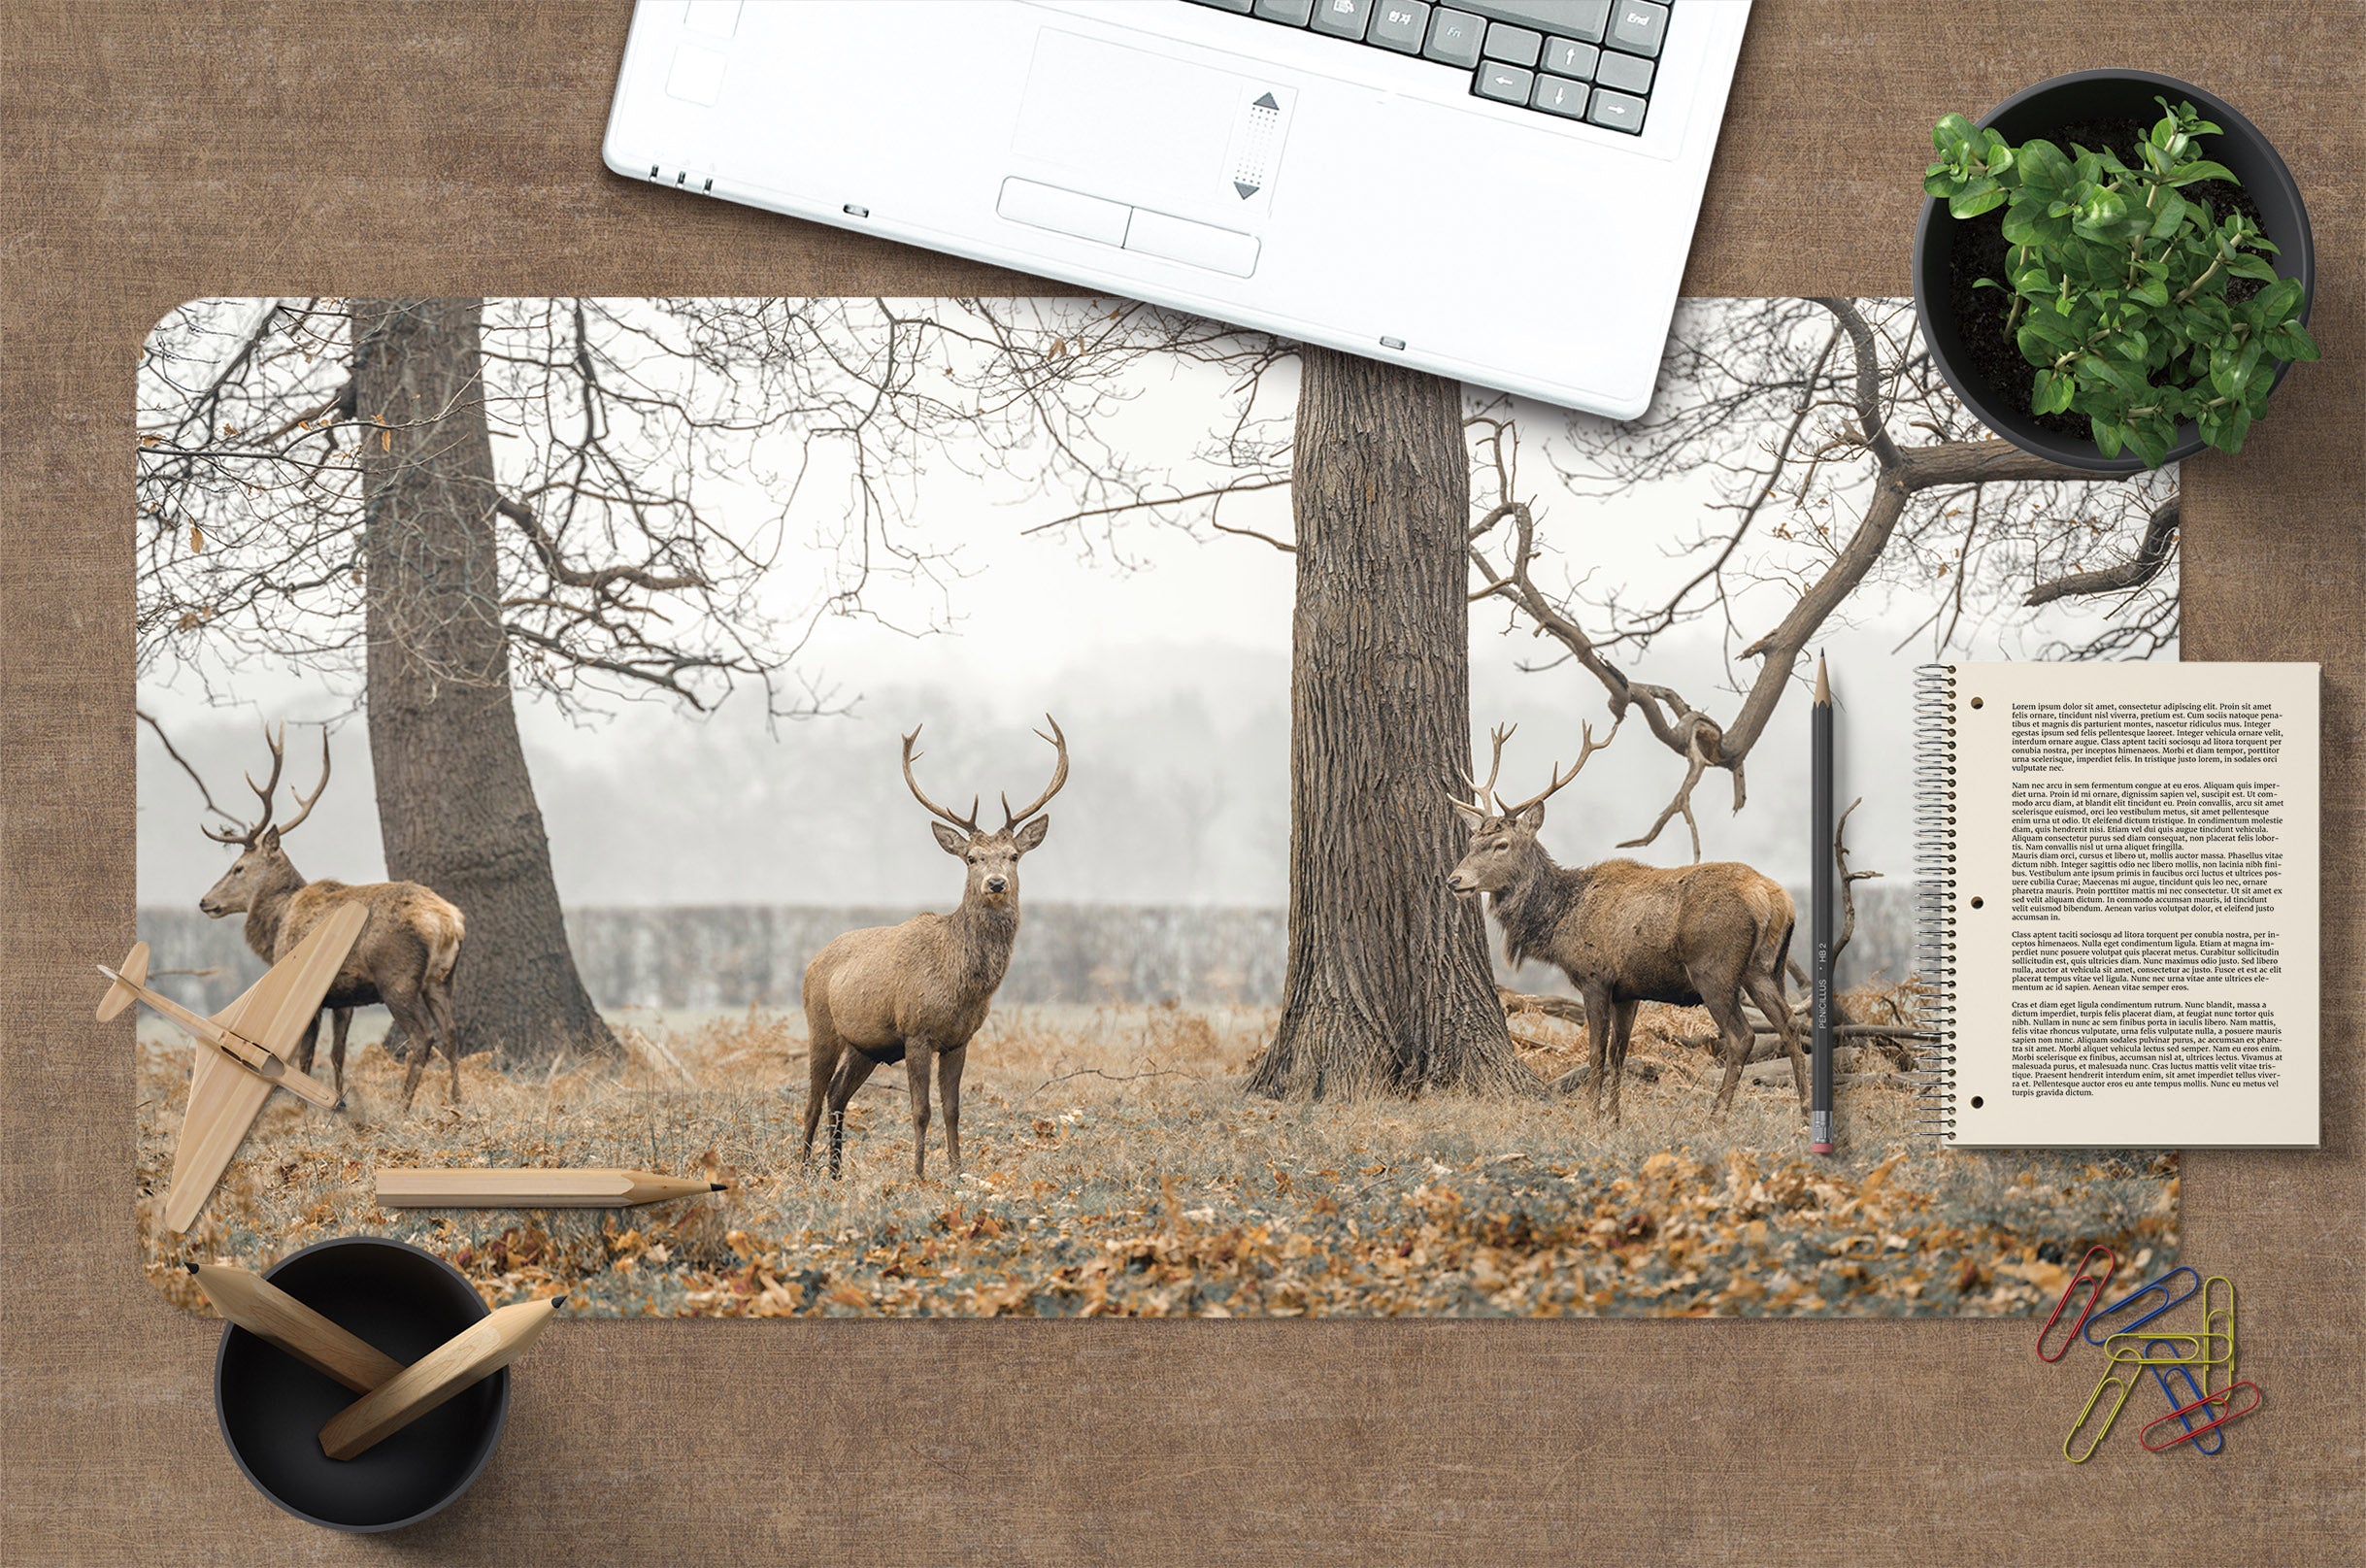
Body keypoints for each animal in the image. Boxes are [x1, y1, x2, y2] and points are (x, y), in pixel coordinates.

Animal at [194, 724, 467, 1111]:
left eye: (238, 868)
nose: (205, 901)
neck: (278, 924)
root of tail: (447, 922)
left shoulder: (308, 991)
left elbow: (303, 1055)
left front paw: (301, 1109)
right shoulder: (344, 998)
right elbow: (338, 1053)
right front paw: (338, 1101)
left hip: (397, 976)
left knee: (423, 1037)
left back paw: (402, 1107)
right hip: (443, 979)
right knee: (452, 1033)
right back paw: (457, 1102)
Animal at [799, 716, 1070, 1180]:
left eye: (1013, 855)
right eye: (971, 858)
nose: (995, 884)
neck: (961, 984)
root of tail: (812, 964)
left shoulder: (960, 1039)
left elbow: (953, 1110)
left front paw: (957, 1172)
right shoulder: (917, 1030)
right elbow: (920, 1110)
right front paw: (919, 1175)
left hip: (865, 1044)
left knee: (837, 1095)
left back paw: (835, 1173)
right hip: (821, 1025)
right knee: (812, 1101)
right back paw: (799, 1170)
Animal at [1446, 721, 1807, 1125]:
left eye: (1502, 845)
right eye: (1472, 841)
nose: (1454, 880)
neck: (1561, 920)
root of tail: (1776, 899)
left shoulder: (1595, 977)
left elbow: (1596, 1052)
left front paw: (1591, 1116)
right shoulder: (1628, 990)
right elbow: (1620, 1051)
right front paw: (1614, 1118)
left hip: (1714, 968)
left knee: (1742, 1036)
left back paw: (1716, 1117)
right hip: (1764, 968)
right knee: (1790, 1024)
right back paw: (1806, 1111)